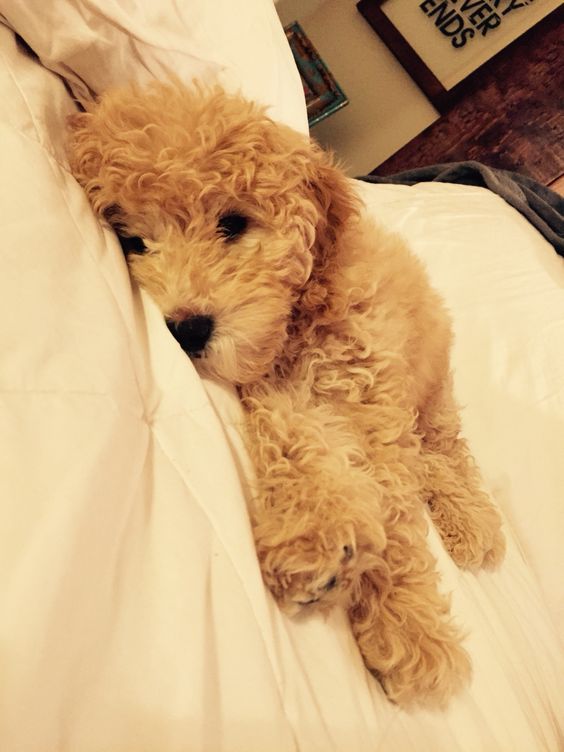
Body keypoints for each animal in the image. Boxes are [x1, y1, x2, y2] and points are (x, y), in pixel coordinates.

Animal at [67, 82, 506, 712]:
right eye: (134, 240)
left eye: (232, 223)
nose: (187, 330)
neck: (298, 320)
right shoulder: (278, 393)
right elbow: (296, 444)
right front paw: (315, 541)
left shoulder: (368, 386)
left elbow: (396, 516)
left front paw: (409, 632)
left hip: (432, 379)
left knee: (442, 449)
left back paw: (472, 525)